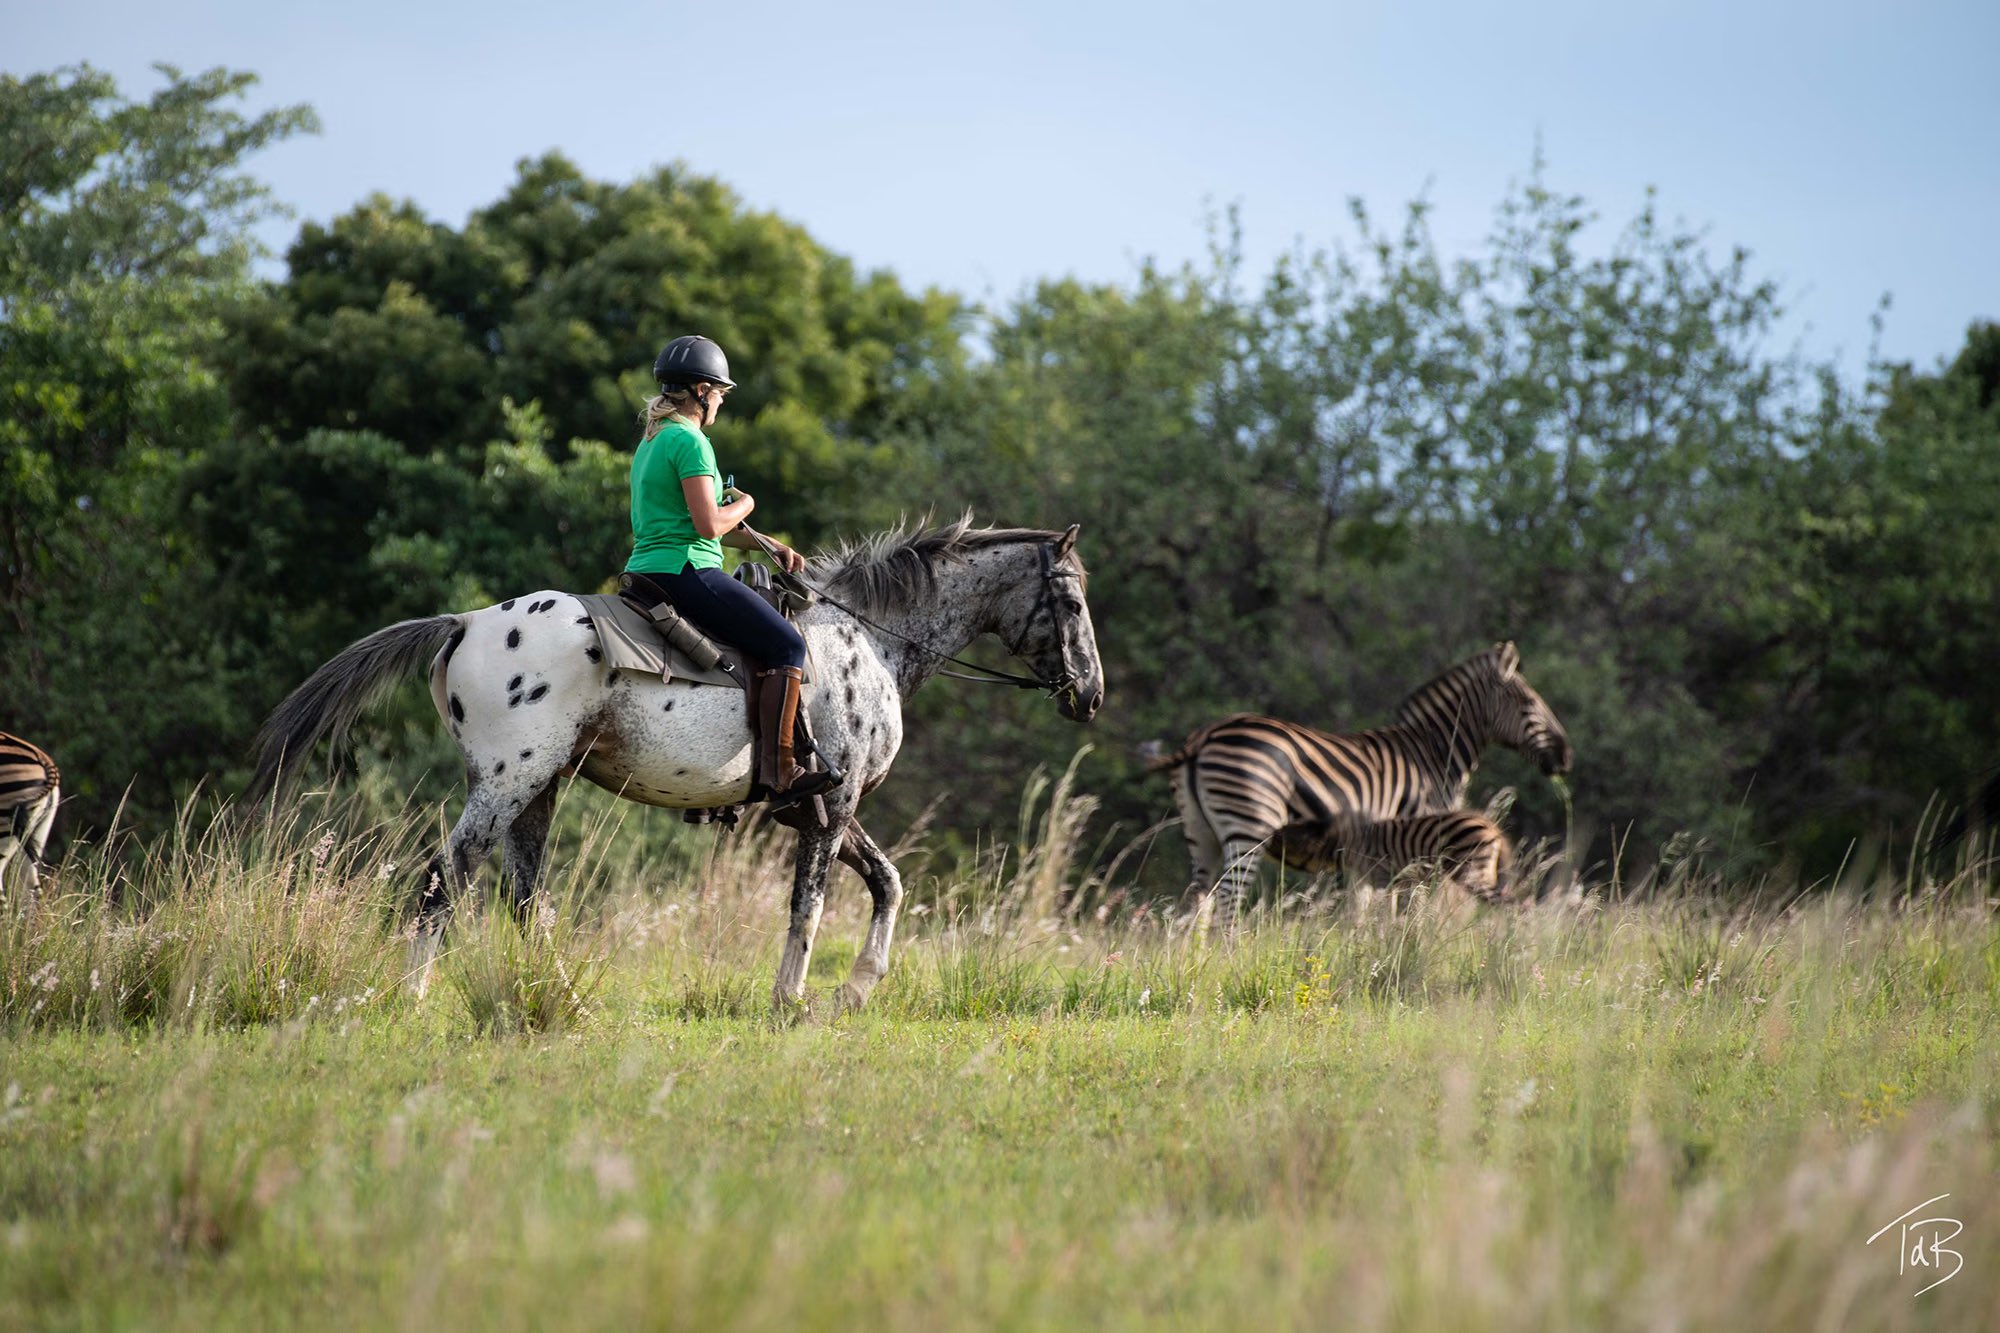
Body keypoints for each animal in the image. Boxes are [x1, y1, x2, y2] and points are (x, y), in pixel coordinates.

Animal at [248, 518, 1104, 1011]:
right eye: (1072, 602)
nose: (1090, 693)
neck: (869, 639)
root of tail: (464, 621)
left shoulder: (824, 805)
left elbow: (887, 882)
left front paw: (856, 988)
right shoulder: (833, 805)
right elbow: (810, 905)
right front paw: (791, 1001)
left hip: (538, 789)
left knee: (525, 899)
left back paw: (560, 999)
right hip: (507, 785)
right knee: (442, 880)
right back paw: (414, 995)